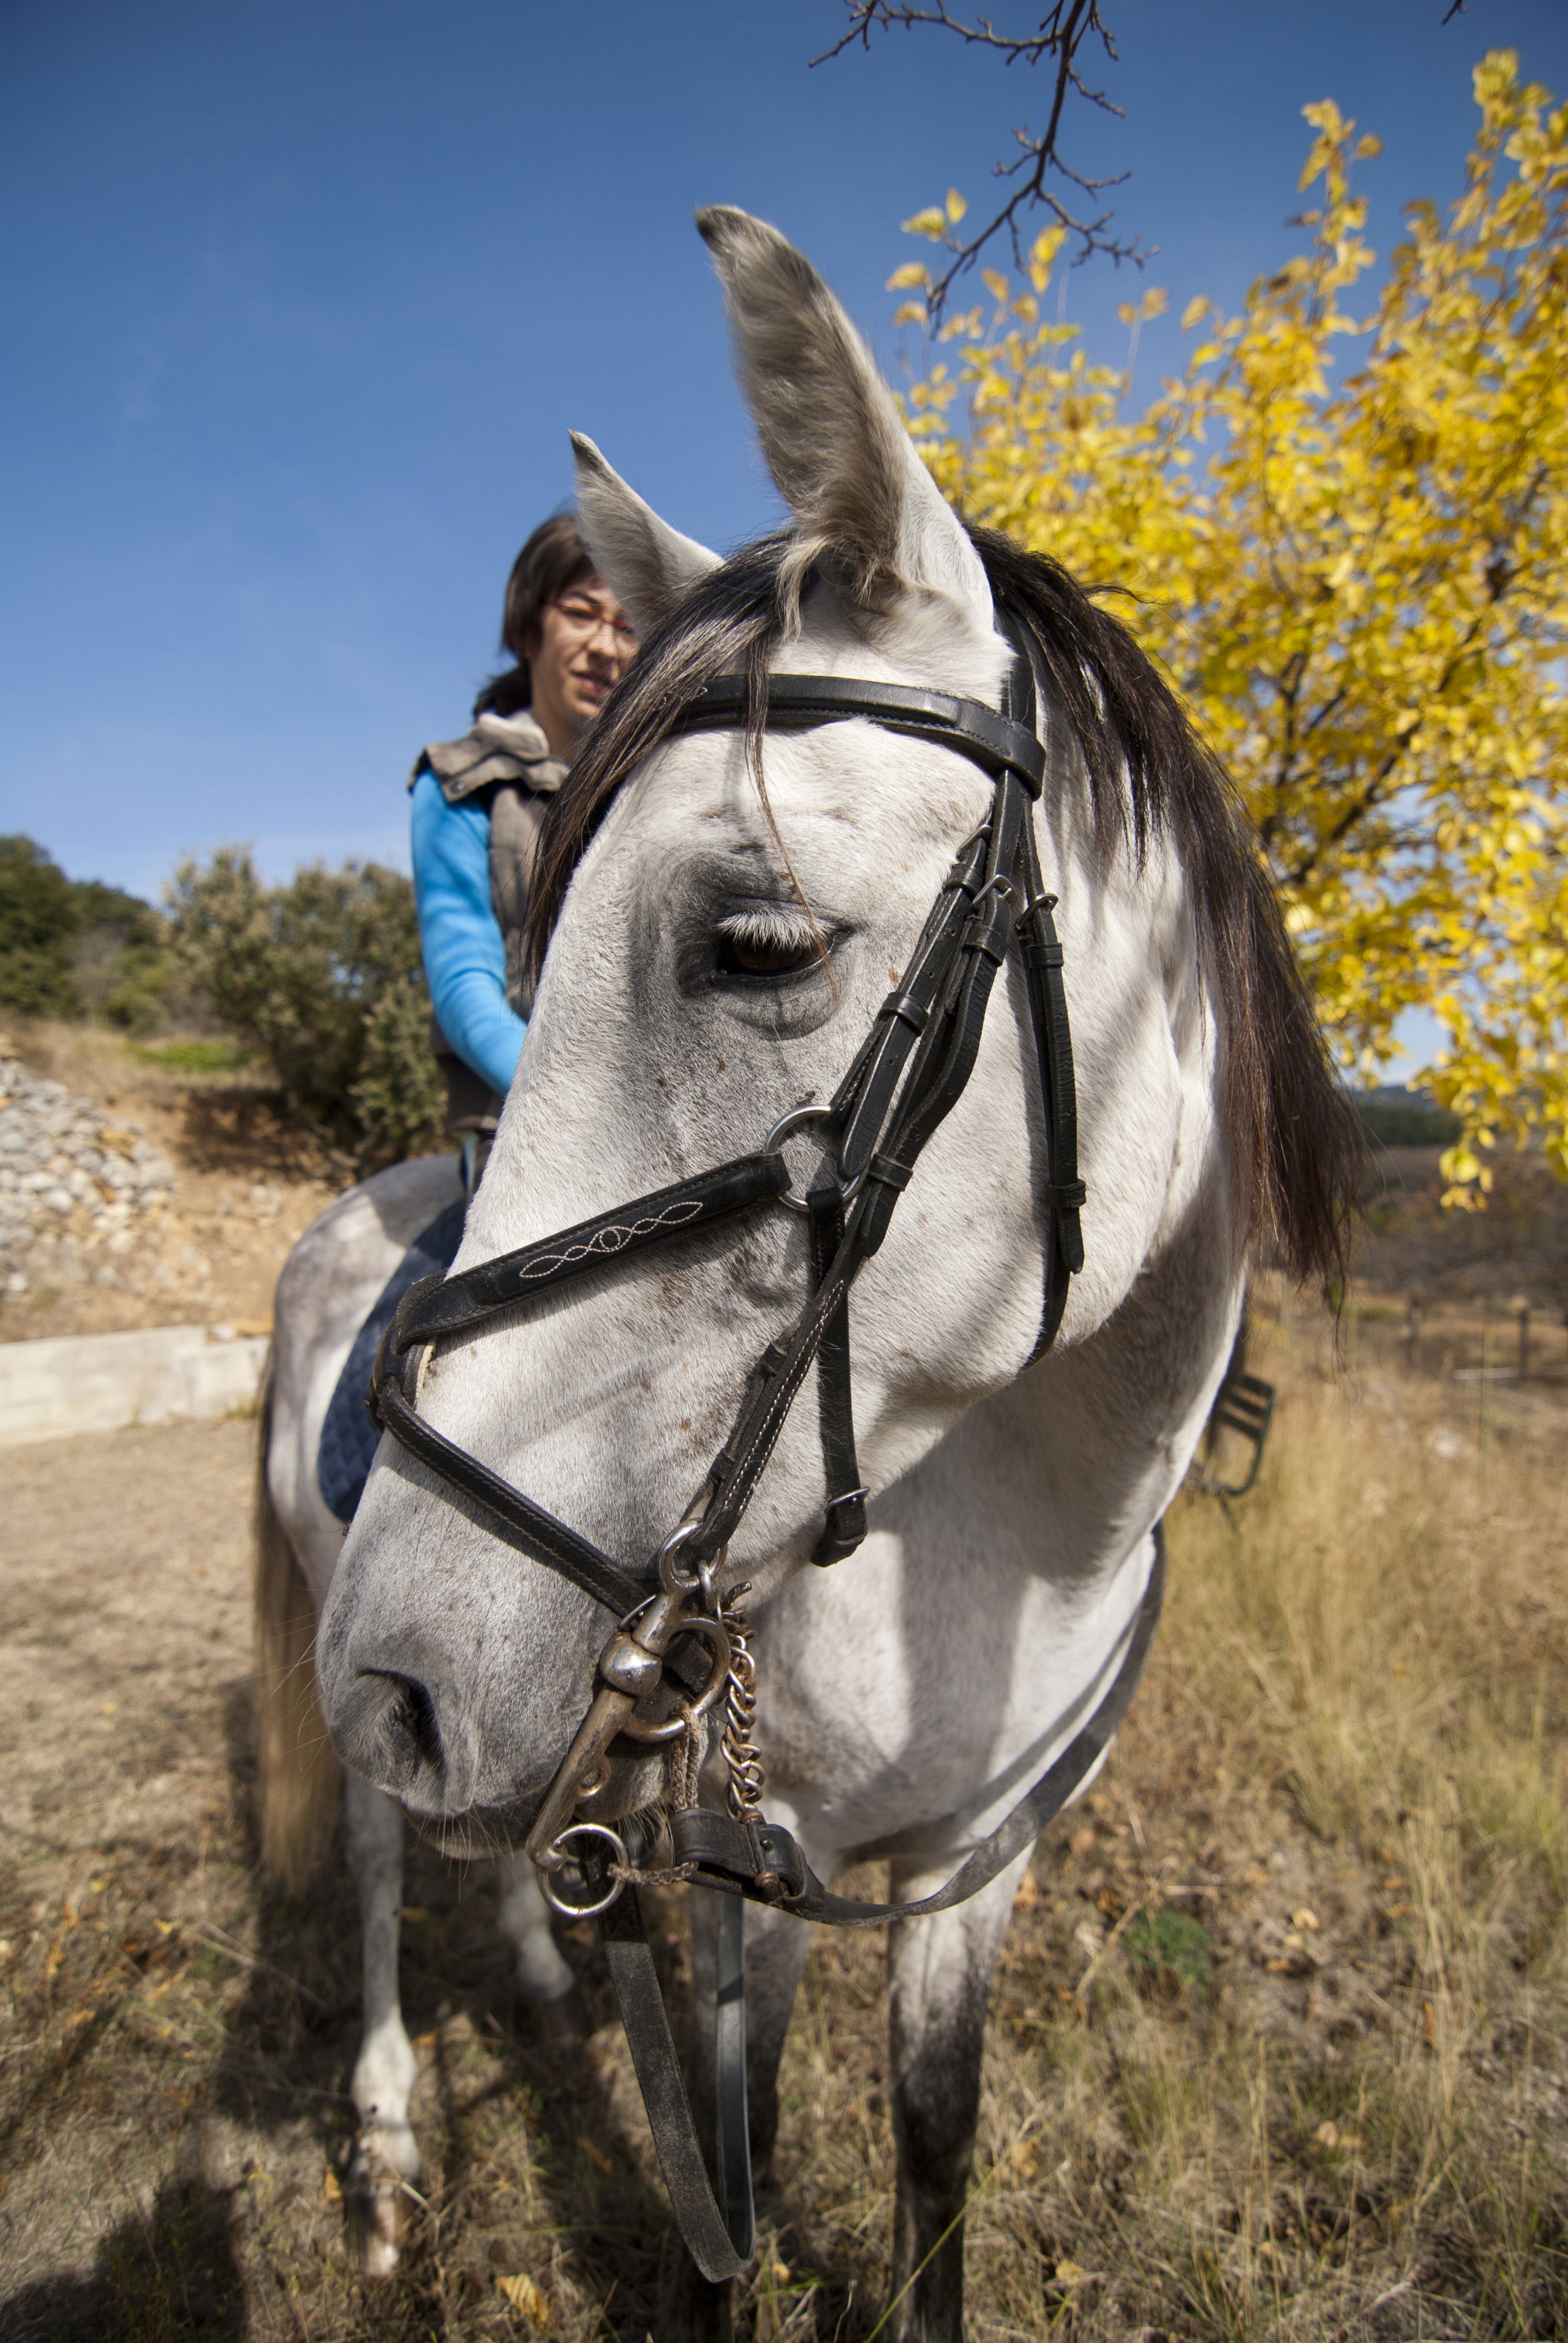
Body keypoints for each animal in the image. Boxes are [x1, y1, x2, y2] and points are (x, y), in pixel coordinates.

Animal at [256, 211, 1359, 2333]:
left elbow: (934, 2143)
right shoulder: (732, 1883)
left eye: (757, 944)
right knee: (374, 1866)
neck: (1005, 1559)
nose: (396, 1671)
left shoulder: (970, 1875)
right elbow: (733, 2188)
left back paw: (540, 1966)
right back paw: (390, 2136)